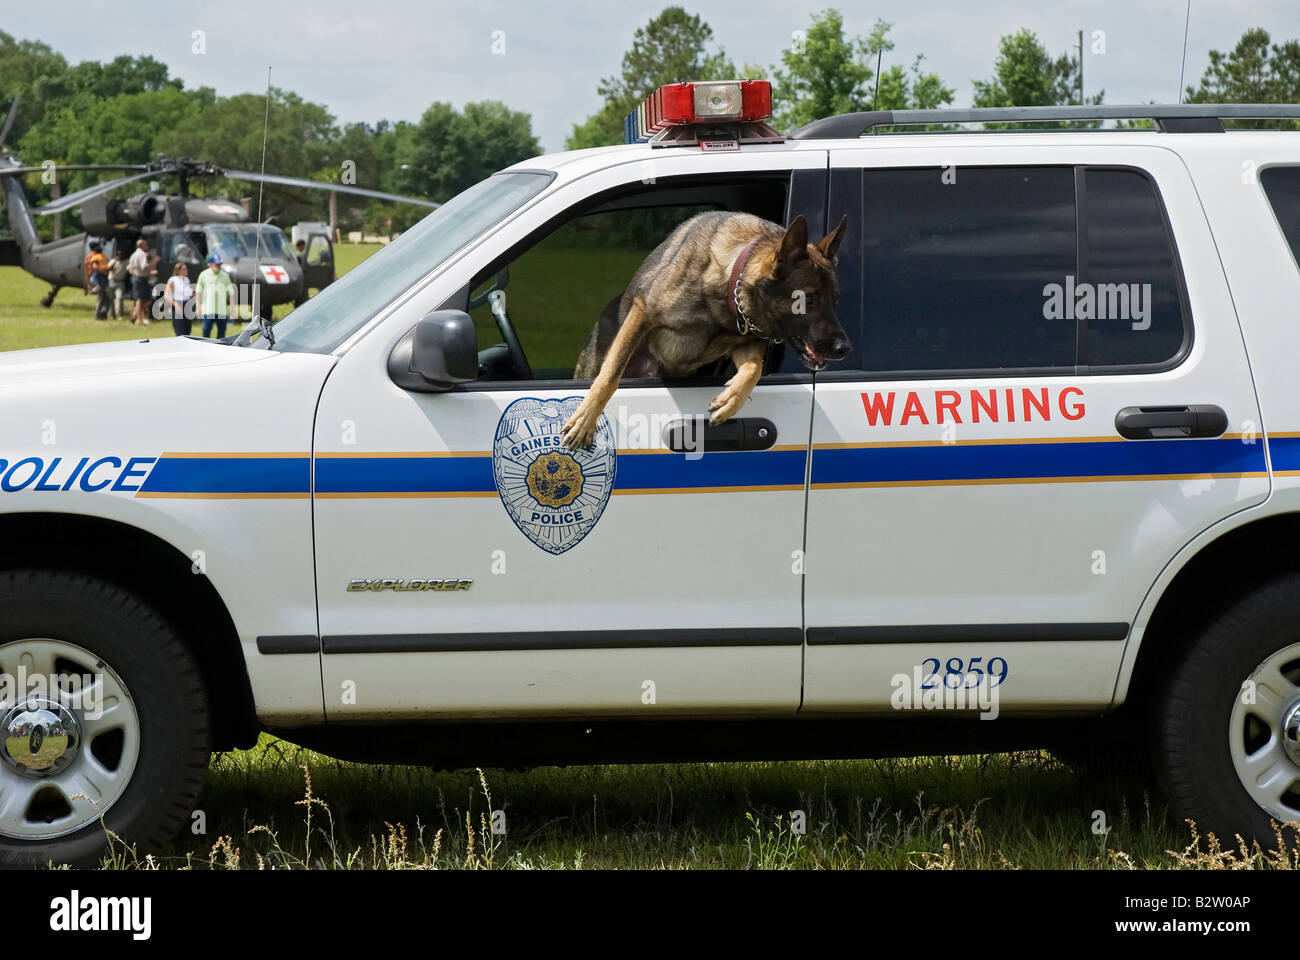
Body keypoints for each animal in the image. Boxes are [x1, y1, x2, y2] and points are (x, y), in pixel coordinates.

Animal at [561, 210, 852, 447]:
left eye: (836, 301)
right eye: (808, 300)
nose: (844, 348)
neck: (730, 286)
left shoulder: (744, 343)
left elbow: (753, 369)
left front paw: (731, 400)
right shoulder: (642, 313)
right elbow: (610, 376)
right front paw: (585, 420)